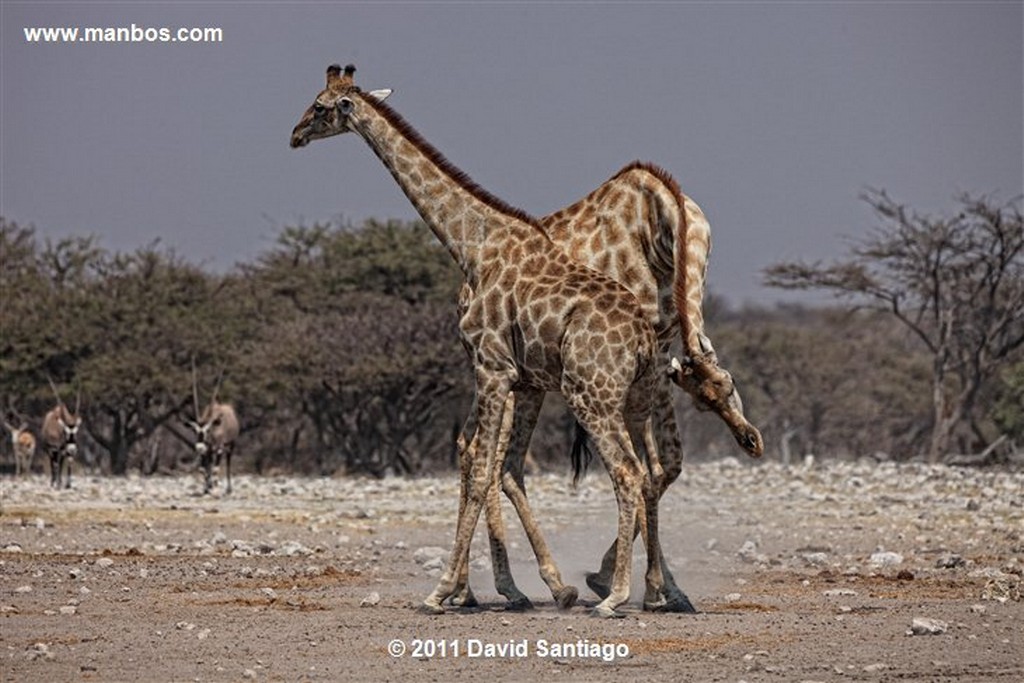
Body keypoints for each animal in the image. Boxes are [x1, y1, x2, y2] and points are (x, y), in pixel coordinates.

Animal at [290, 65, 671, 618]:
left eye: (319, 106)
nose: (294, 135)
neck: (472, 246)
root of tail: (643, 336)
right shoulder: (518, 377)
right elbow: (482, 461)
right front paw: (501, 588)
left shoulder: (492, 368)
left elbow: (478, 473)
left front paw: (441, 590)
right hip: (636, 397)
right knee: (649, 471)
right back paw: (652, 590)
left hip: (591, 396)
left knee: (626, 472)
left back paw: (615, 596)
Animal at [452, 162, 765, 610]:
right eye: (703, 402)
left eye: (728, 385)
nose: (751, 441)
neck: (666, 225)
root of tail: (464, 292)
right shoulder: (646, 351)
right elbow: (649, 469)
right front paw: (629, 584)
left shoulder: (659, 347)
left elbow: (665, 466)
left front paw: (654, 588)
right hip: (506, 369)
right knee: (487, 456)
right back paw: (507, 589)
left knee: (470, 447)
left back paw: (467, 591)